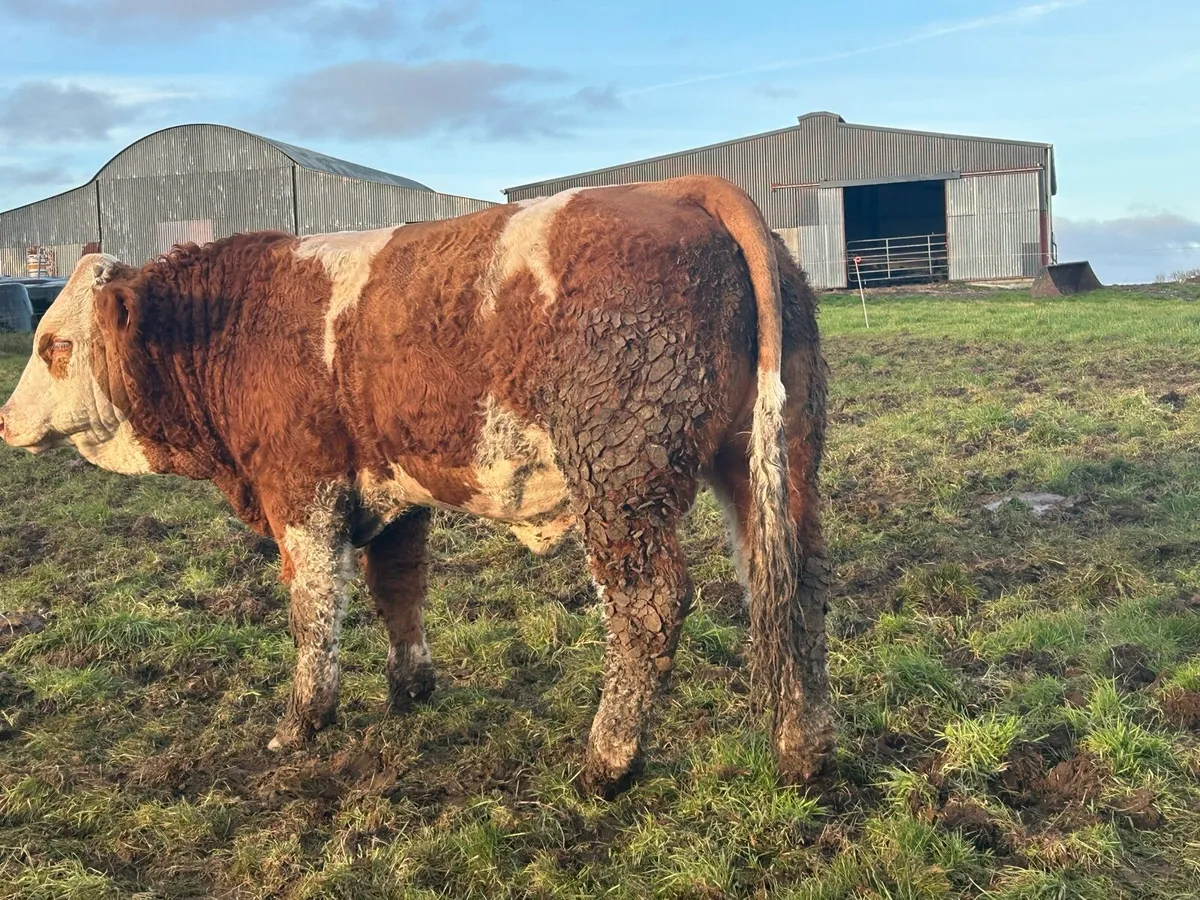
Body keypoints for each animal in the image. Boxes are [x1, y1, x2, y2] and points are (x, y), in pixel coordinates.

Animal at [0, 175, 832, 796]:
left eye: (56, 345)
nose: (5, 420)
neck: (229, 325)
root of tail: (682, 189)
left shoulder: (302, 493)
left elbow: (312, 613)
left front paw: (301, 722)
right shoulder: (390, 495)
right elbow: (396, 589)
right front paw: (409, 691)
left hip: (621, 475)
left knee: (647, 604)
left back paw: (606, 764)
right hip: (778, 456)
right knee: (792, 581)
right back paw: (804, 752)